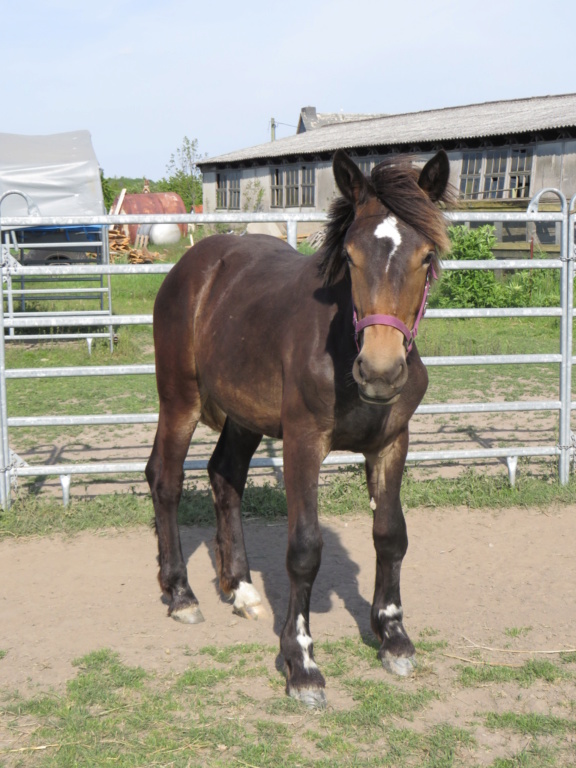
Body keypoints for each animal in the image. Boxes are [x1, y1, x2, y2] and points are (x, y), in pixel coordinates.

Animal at [144, 150, 450, 708]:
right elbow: (305, 549)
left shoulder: (392, 444)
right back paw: (180, 593)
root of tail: (193, 264)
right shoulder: (303, 444)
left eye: (425, 257)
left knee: (224, 476)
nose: (379, 371)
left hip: (244, 413)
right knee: (166, 480)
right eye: (350, 256)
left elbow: (391, 534)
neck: (343, 347)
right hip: (180, 400)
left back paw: (241, 589)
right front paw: (301, 662)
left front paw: (393, 637)